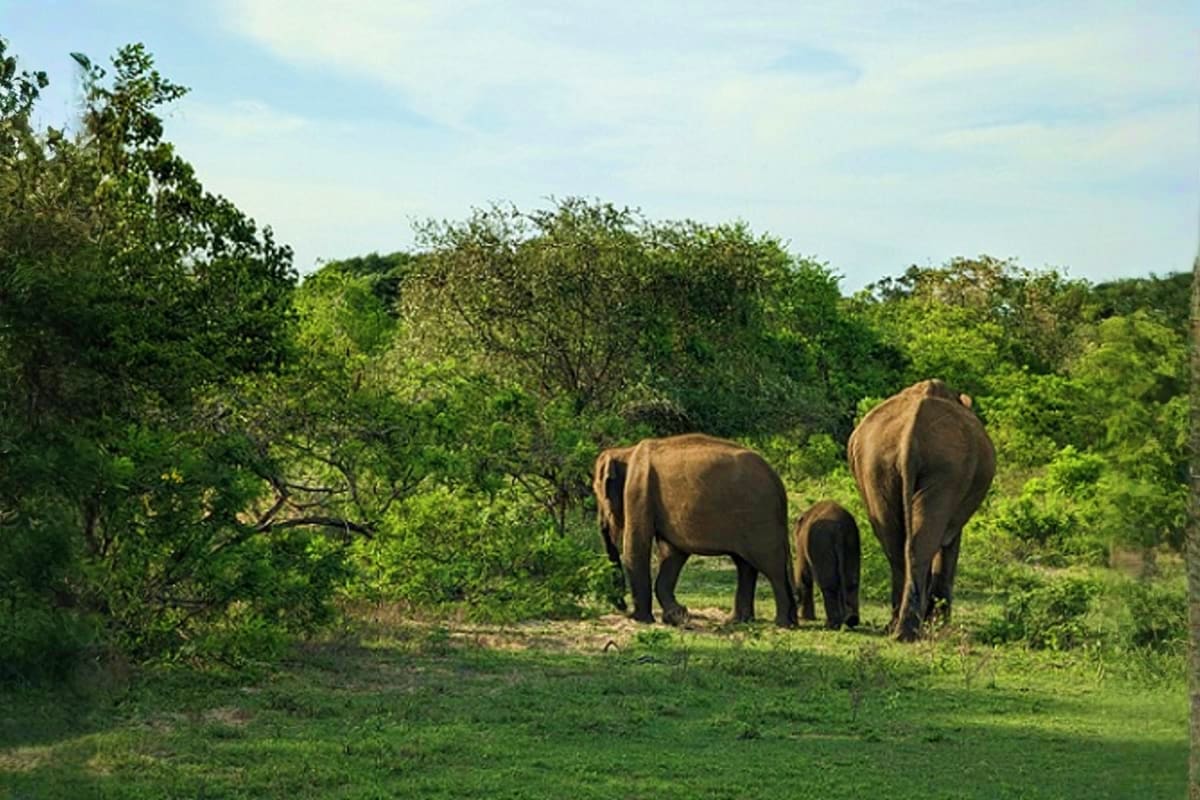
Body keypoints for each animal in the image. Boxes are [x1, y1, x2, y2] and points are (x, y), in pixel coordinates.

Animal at [592, 434, 798, 628]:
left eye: (597, 493)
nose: (622, 607)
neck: (625, 452)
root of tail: (778, 483)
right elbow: (672, 554)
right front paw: (677, 615)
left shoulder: (638, 492)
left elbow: (637, 547)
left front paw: (641, 620)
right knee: (745, 565)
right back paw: (739, 621)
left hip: (760, 517)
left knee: (771, 567)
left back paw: (782, 623)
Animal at [794, 500, 860, 629]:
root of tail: (840, 528)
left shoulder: (801, 545)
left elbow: (804, 574)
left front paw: (806, 618)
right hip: (852, 544)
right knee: (851, 582)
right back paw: (851, 620)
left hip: (823, 545)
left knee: (828, 584)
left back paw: (832, 624)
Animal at [848, 379, 995, 641]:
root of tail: (910, 434)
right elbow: (949, 542)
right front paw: (939, 624)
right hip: (947, 468)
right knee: (922, 542)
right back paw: (909, 631)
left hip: (876, 466)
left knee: (896, 545)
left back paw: (896, 628)